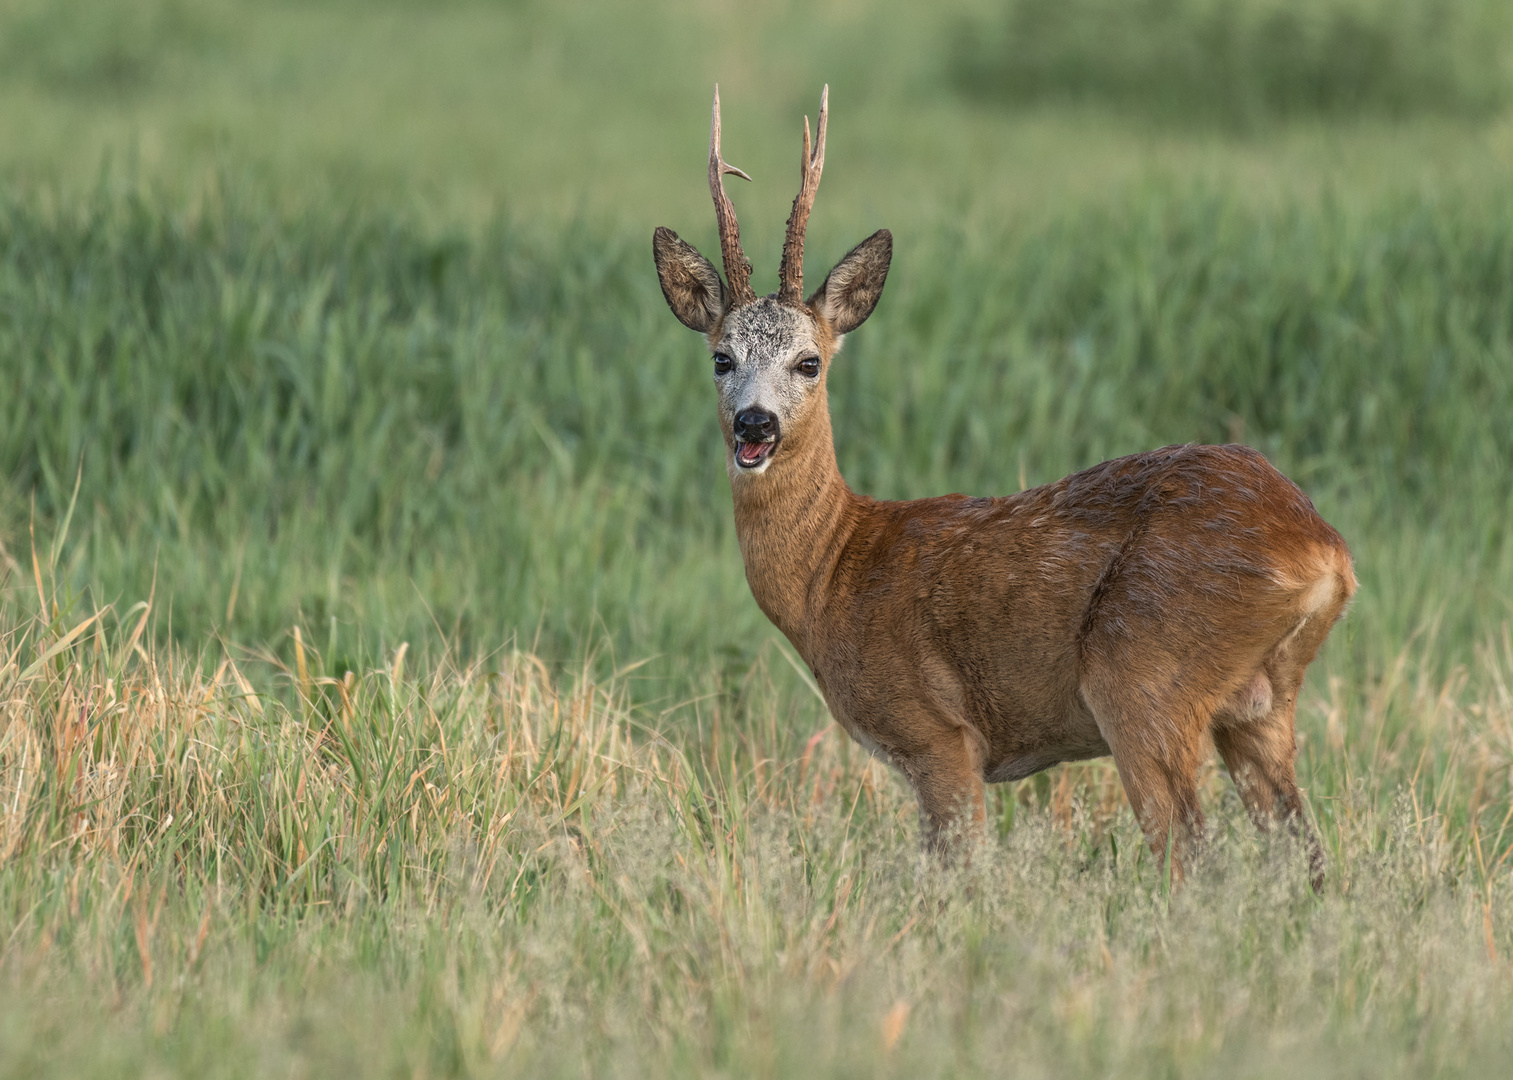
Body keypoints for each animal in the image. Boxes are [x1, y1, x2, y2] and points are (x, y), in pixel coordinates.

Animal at [647, 86, 1349, 883]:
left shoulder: (938, 736)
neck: (833, 573)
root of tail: (1323, 550)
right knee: (1306, 854)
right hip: (1260, 707)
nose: (755, 425)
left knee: (1193, 857)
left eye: (808, 361)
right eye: (720, 358)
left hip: (1143, 678)